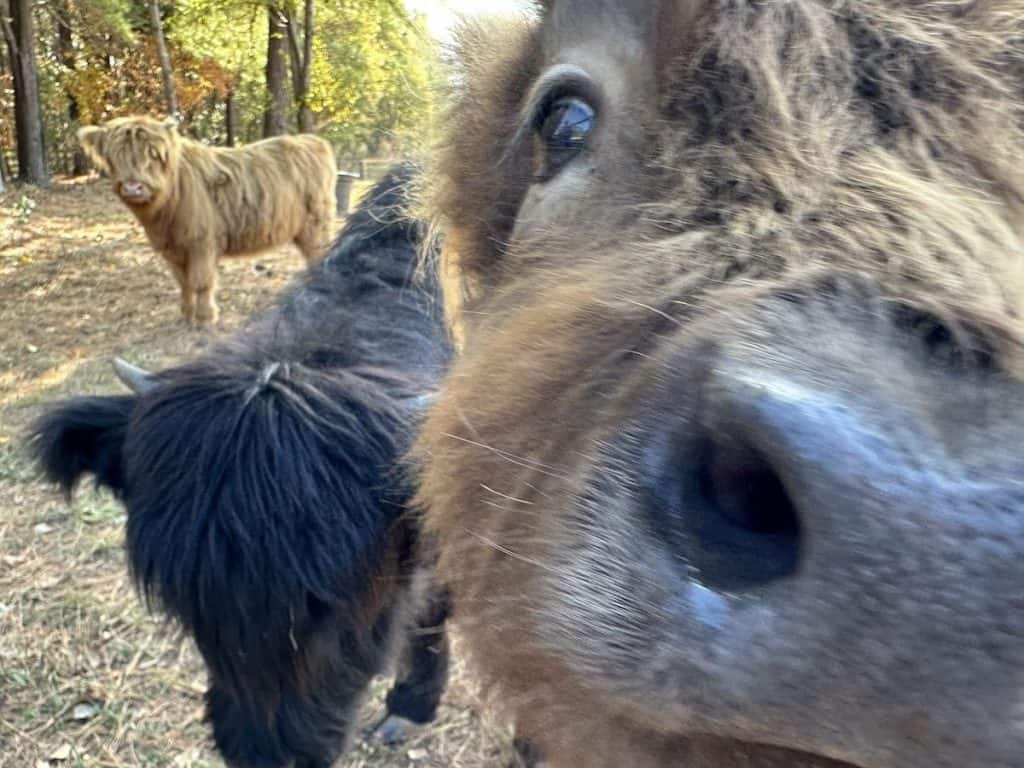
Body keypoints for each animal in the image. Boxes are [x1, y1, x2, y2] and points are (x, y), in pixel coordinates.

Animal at [77, 115, 336, 326]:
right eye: (114, 156)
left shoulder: (201, 242)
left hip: (315, 225)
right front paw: (186, 315)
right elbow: (184, 283)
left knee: (320, 256)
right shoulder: (171, 249)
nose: (132, 187)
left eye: (153, 154)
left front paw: (204, 319)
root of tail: (314, 141)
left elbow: (201, 282)